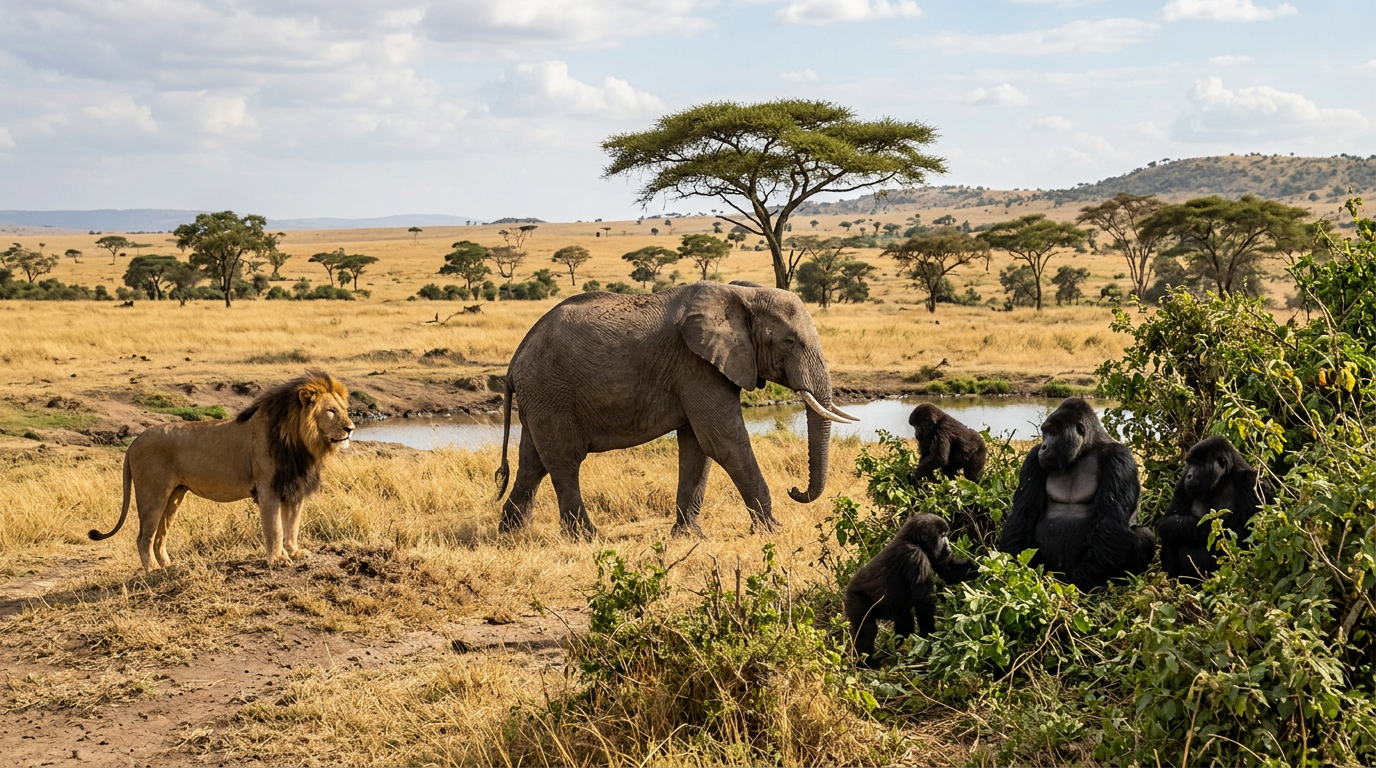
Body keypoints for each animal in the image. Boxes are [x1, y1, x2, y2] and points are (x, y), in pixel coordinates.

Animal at [90, 371, 355, 572]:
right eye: (331, 411)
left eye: (345, 409)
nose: (351, 428)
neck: (301, 443)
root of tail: (134, 441)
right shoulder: (268, 488)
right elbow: (275, 527)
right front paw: (278, 559)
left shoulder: (293, 487)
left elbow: (292, 525)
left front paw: (295, 552)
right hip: (152, 495)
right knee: (143, 538)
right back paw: (153, 570)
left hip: (174, 496)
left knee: (159, 537)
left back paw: (168, 566)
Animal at [493, 280, 857, 538]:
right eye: (789, 342)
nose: (794, 490)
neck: (743, 294)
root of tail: (513, 364)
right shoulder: (696, 365)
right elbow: (723, 441)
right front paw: (772, 531)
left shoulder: (697, 369)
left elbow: (698, 447)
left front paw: (689, 536)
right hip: (550, 391)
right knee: (564, 460)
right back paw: (587, 538)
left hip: (541, 397)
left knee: (533, 462)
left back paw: (511, 534)